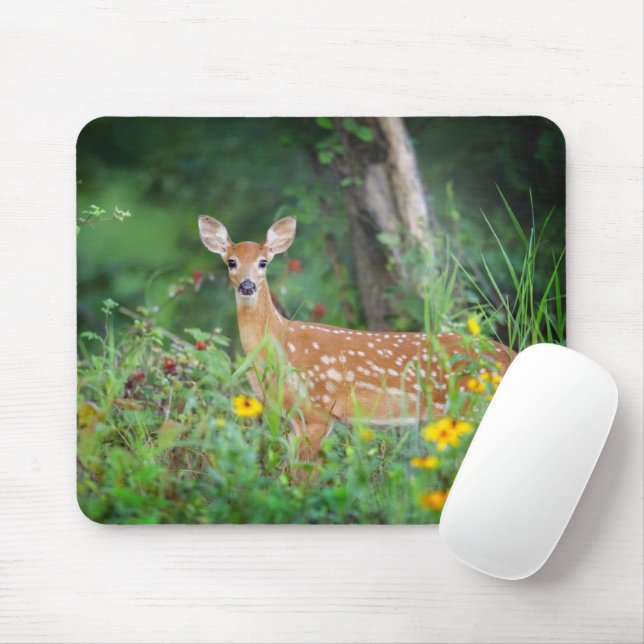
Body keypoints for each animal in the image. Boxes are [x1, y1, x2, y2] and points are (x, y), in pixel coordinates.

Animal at [198, 215, 514, 460]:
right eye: (231, 262)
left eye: (263, 262)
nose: (247, 286)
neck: (280, 344)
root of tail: (509, 354)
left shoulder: (318, 410)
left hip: (469, 404)